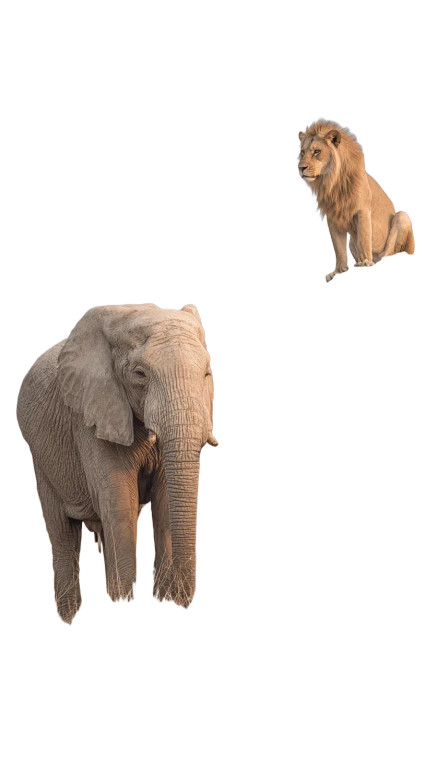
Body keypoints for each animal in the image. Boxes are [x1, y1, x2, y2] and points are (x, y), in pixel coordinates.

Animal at [17, 303, 217, 623]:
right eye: (140, 374)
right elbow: (119, 505)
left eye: (207, 373)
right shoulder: (91, 416)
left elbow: (164, 505)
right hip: (42, 459)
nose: (182, 605)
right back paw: (69, 619)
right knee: (63, 536)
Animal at [298, 120, 415, 282]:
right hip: (351, 242)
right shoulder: (333, 217)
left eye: (317, 152)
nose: (300, 168)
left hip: (402, 216)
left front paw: (365, 262)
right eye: (302, 152)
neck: (333, 183)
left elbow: (364, 238)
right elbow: (338, 248)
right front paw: (339, 271)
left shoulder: (362, 210)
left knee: (391, 252)